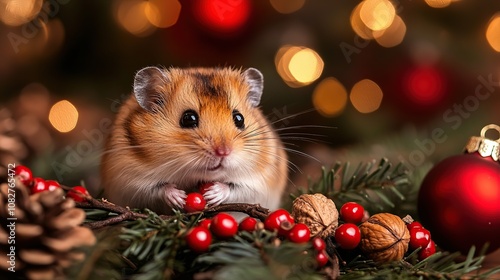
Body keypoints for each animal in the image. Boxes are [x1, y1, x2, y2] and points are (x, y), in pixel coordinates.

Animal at [100, 66, 290, 215]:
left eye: (239, 119)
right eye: (188, 118)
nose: (223, 152)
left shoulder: (259, 182)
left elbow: (235, 187)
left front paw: (213, 194)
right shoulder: (129, 180)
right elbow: (158, 188)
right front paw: (179, 197)